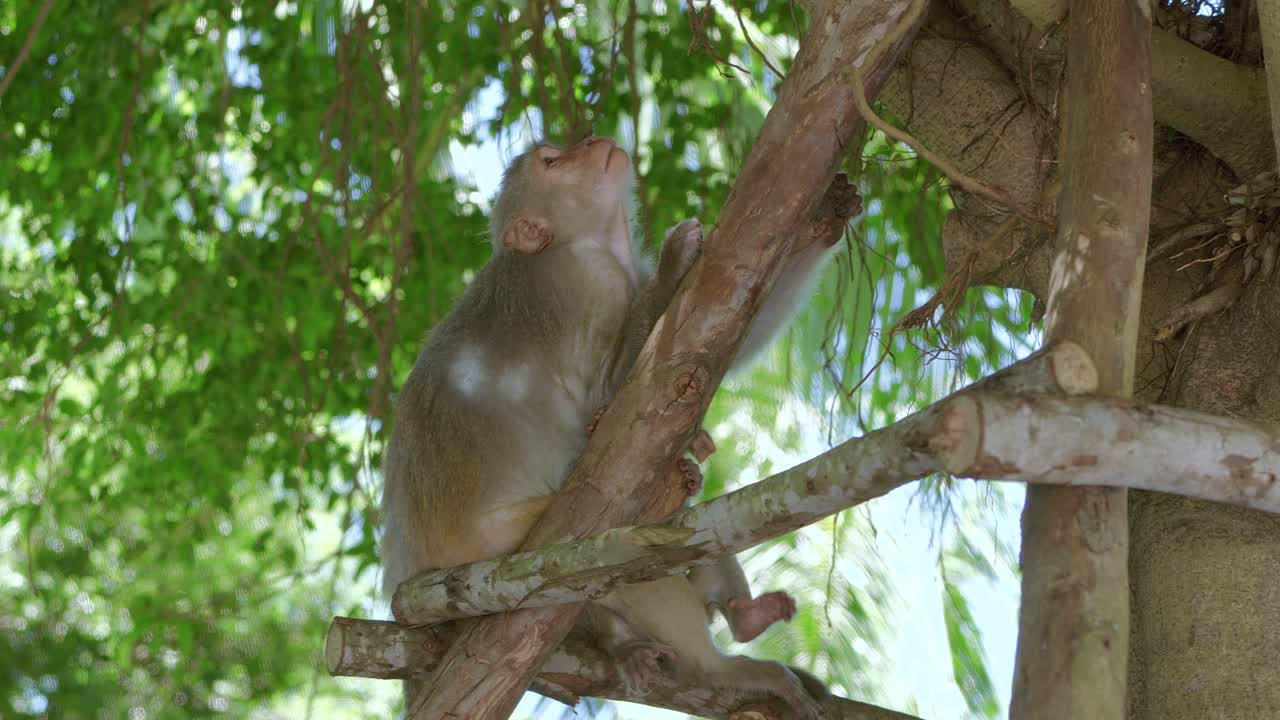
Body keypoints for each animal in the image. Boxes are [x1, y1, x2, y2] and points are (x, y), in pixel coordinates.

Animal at [380, 136, 859, 718]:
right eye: (553, 162)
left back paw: (736, 616)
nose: (591, 140)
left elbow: (722, 329)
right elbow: (608, 401)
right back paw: (723, 668)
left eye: (561, 148)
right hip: (502, 551)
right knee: (614, 551)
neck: (581, 242)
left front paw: (826, 216)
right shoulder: (591, 284)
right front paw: (676, 259)